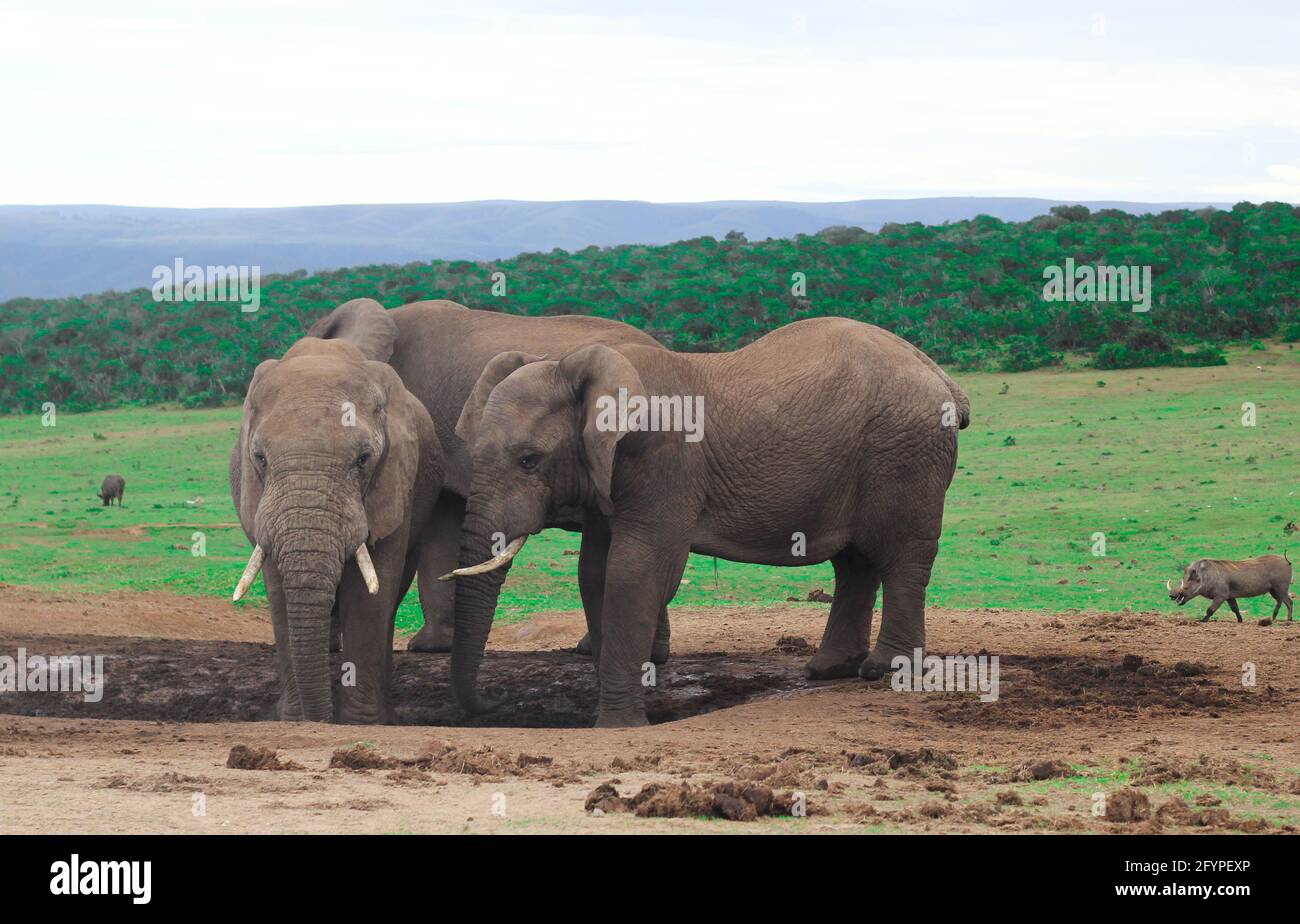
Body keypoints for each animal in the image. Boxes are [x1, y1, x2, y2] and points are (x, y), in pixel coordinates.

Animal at [228, 335, 441, 727]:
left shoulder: (395, 482)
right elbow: (279, 593)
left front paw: (361, 723)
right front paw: (294, 719)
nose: (319, 720)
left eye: (364, 459)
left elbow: (370, 597)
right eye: (260, 458)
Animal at [444, 318, 967, 727]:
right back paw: (827, 671)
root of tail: (937, 373)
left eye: (529, 460)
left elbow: (635, 573)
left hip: (904, 452)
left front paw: (617, 725)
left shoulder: (665, 462)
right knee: (854, 563)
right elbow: (593, 574)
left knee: (900, 557)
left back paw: (884, 671)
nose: (488, 706)